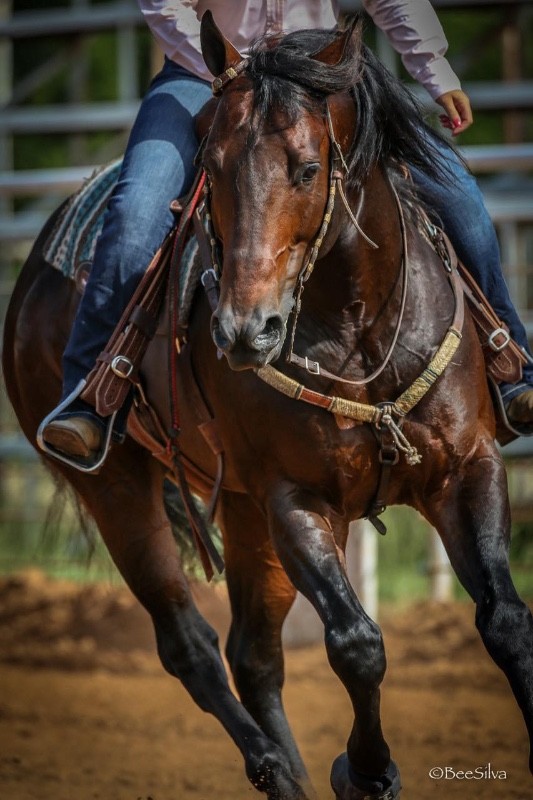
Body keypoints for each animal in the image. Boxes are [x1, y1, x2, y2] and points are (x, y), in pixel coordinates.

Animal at [3, 13, 533, 800]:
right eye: (211, 167)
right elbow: (356, 644)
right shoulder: (296, 498)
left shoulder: (466, 469)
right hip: (117, 487)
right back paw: (274, 766)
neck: (355, 325)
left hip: (239, 504)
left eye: (308, 169)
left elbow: (505, 621)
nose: (242, 331)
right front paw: (364, 771)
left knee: (252, 652)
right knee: (191, 645)